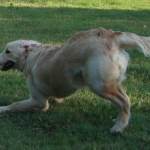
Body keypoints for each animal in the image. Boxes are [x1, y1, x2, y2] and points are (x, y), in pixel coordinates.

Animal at [0, 27, 150, 134]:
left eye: (7, 51)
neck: (30, 56)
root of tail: (110, 36)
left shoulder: (39, 101)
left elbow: (16, 104)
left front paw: (3, 108)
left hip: (99, 84)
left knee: (124, 102)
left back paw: (118, 128)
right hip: (111, 83)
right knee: (123, 102)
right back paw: (118, 120)